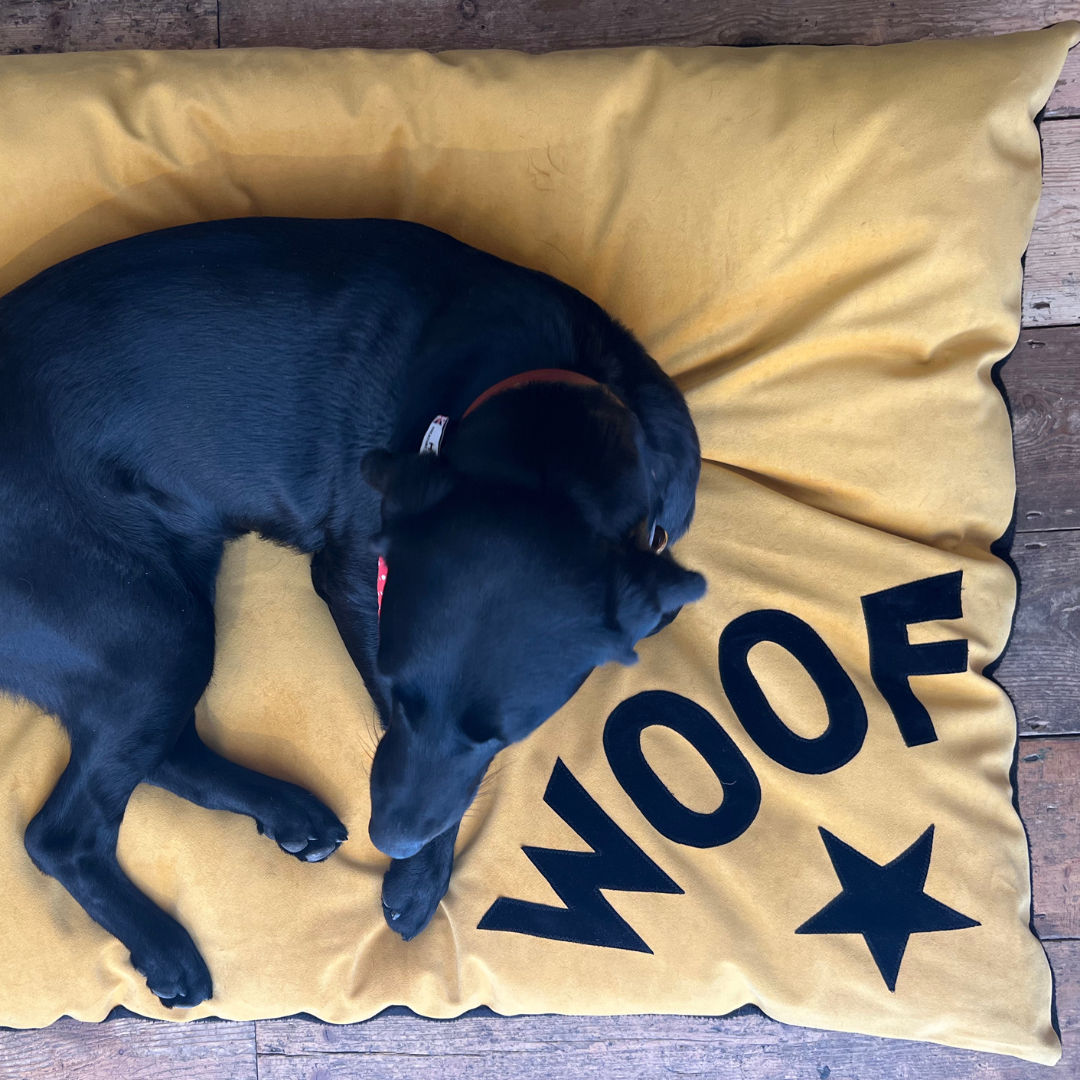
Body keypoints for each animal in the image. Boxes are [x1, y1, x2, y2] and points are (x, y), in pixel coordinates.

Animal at [0, 214, 699, 1006]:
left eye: (503, 735)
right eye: (396, 692)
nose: (389, 842)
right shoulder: (360, 582)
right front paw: (419, 880)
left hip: (170, 610)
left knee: (162, 748)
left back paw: (286, 813)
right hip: (153, 632)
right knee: (59, 834)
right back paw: (164, 946)